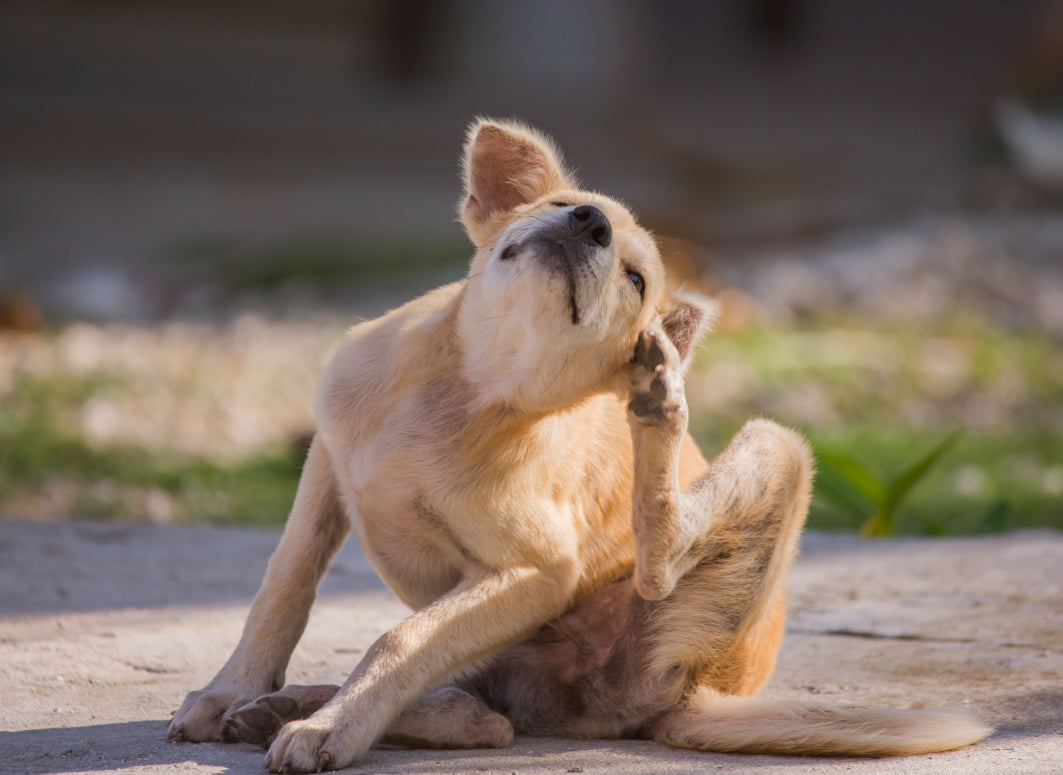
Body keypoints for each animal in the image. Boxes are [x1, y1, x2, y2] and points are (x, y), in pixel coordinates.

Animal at [165, 118, 986, 769]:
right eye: (563, 207)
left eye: (635, 278)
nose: (588, 222)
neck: (466, 389)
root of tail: (697, 693)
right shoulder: (327, 465)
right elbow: (284, 585)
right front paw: (231, 691)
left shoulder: (534, 570)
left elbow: (400, 639)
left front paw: (331, 728)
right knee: (483, 712)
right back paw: (295, 704)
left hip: (769, 461)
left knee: (628, 586)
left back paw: (659, 405)